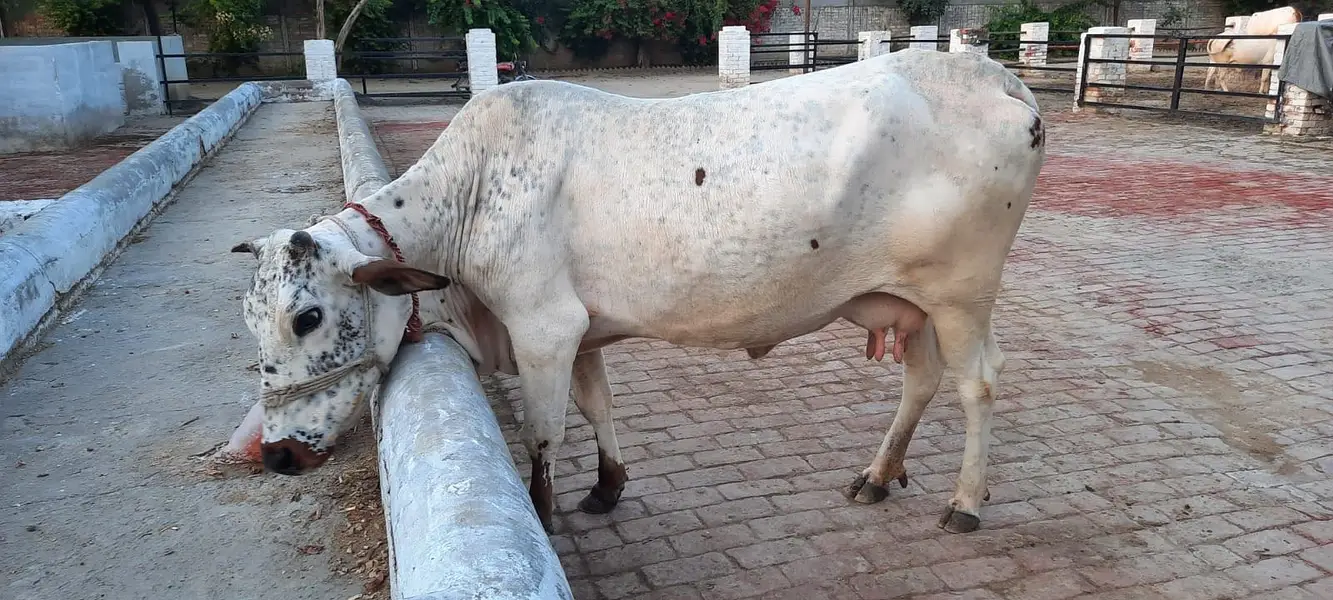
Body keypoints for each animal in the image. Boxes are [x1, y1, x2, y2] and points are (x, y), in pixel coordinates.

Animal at [228, 48, 1047, 535]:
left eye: (307, 317)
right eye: (251, 321)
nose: (275, 456)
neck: (471, 192)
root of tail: (987, 73)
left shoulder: (543, 328)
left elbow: (546, 432)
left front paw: (544, 511)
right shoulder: (581, 331)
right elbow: (598, 407)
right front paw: (607, 485)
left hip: (962, 293)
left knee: (976, 384)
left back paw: (963, 502)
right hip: (914, 304)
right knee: (922, 379)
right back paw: (877, 476)